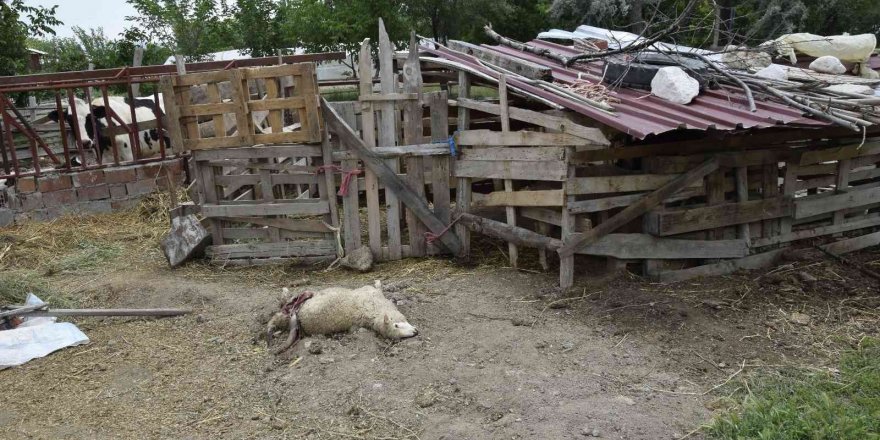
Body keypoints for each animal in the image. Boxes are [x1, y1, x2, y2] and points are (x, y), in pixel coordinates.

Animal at [268, 282, 416, 354]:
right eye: (396, 326)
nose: (416, 332)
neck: (376, 310)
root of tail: (300, 318)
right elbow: (377, 286)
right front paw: (379, 283)